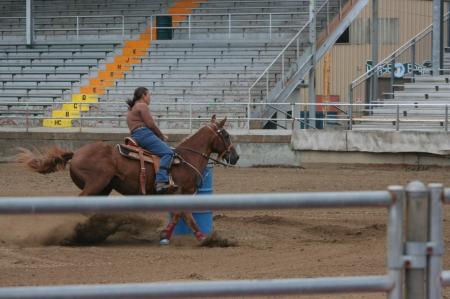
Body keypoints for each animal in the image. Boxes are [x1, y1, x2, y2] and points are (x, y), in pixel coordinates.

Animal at [18, 116, 239, 245]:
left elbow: (179, 216)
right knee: (80, 204)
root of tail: (77, 153)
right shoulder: (182, 191)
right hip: (96, 183)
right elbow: (185, 215)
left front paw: (165, 236)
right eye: (226, 135)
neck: (185, 158)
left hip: (104, 188)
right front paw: (205, 238)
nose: (235, 157)